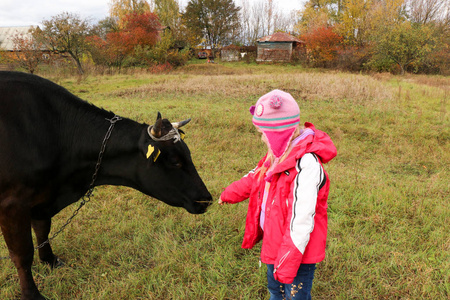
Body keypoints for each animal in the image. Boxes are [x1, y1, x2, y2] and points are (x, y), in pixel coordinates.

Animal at [0, 71, 212, 298]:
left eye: (188, 153)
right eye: (174, 161)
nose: (206, 199)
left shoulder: (43, 199)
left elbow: (42, 231)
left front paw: (50, 260)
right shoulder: (13, 205)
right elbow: (22, 254)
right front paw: (31, 293)